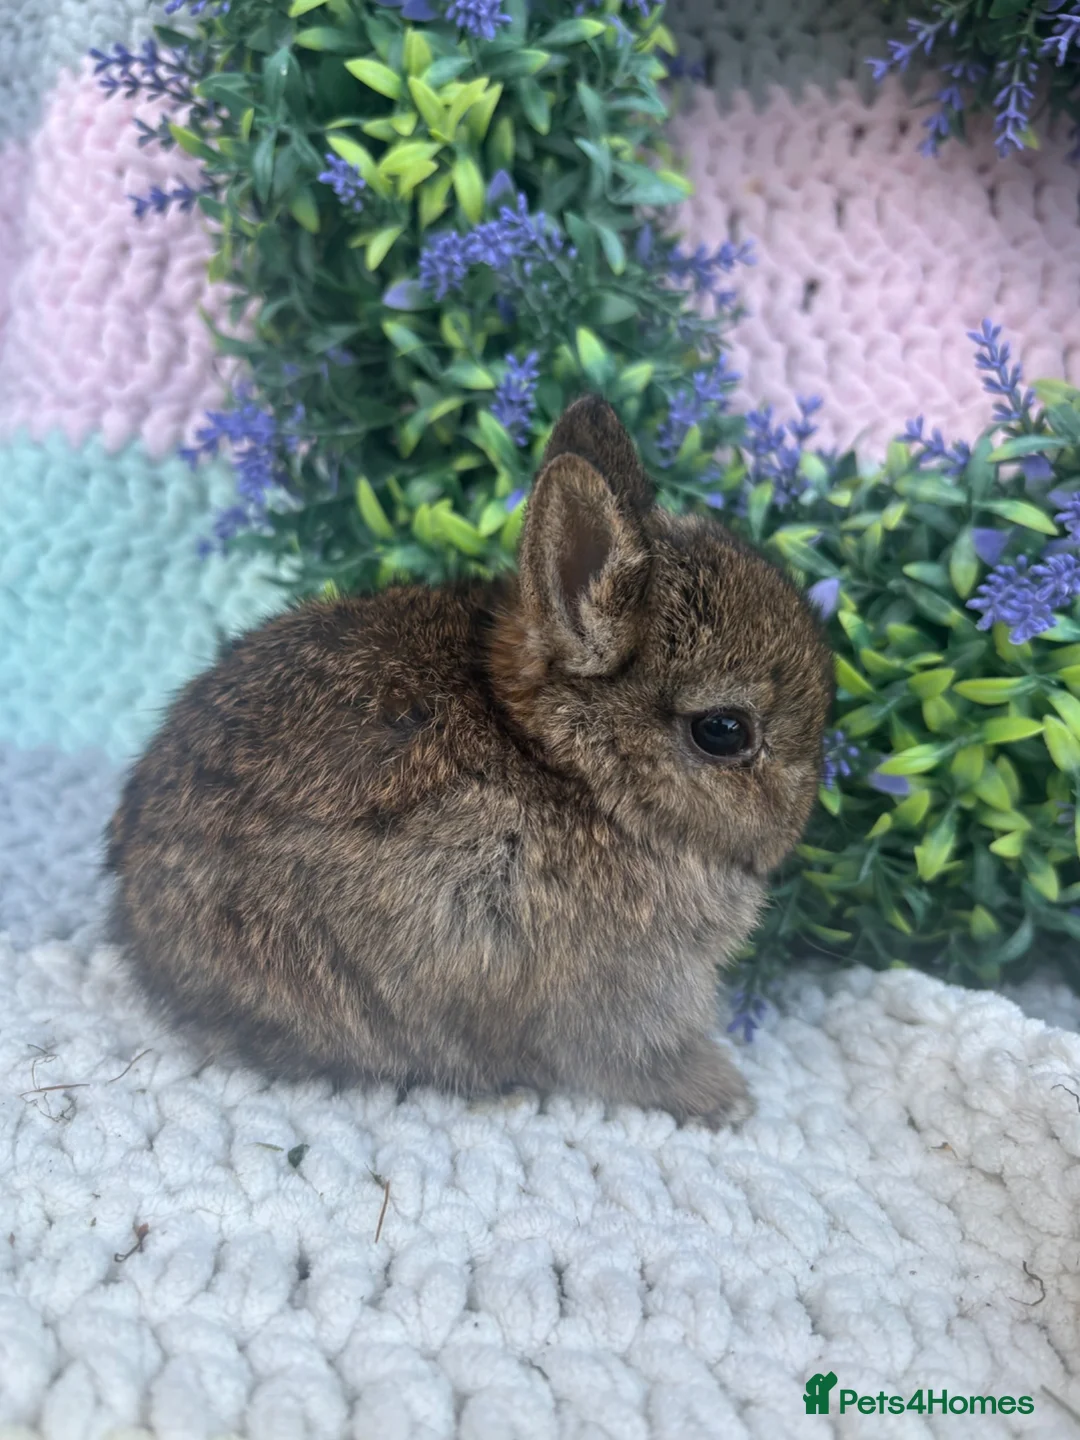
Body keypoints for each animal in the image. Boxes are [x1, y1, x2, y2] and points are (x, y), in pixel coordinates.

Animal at [104, 394, 833, 1128]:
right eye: (724, 731)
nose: (797, 824)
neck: (565, 765)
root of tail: (137, 916)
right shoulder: (615, 1002)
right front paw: (722, 1096)